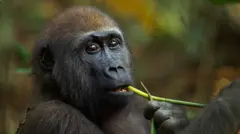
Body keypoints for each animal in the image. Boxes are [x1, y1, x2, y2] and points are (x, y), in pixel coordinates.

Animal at [15, 5, 240, 133]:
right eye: (92, 49)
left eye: (114, 43)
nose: (116, 67)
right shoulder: (54, 116)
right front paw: (229, 100)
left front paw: (173, 117)